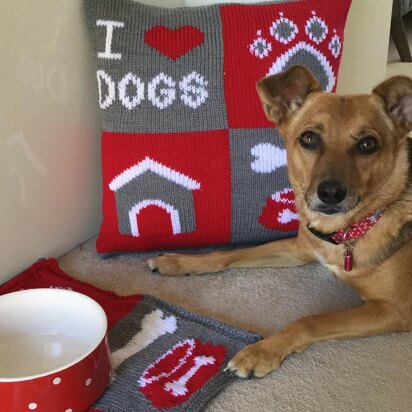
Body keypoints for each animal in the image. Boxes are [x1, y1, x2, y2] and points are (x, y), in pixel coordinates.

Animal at [147, 66, 412, 378]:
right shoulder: (299, 250)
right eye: (309, 139)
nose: (331, 193)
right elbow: (229, 254)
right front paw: (180, 262)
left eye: (368, 144)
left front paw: (262, 351)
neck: (346, 232)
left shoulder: (395, 309)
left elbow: (313, 320)